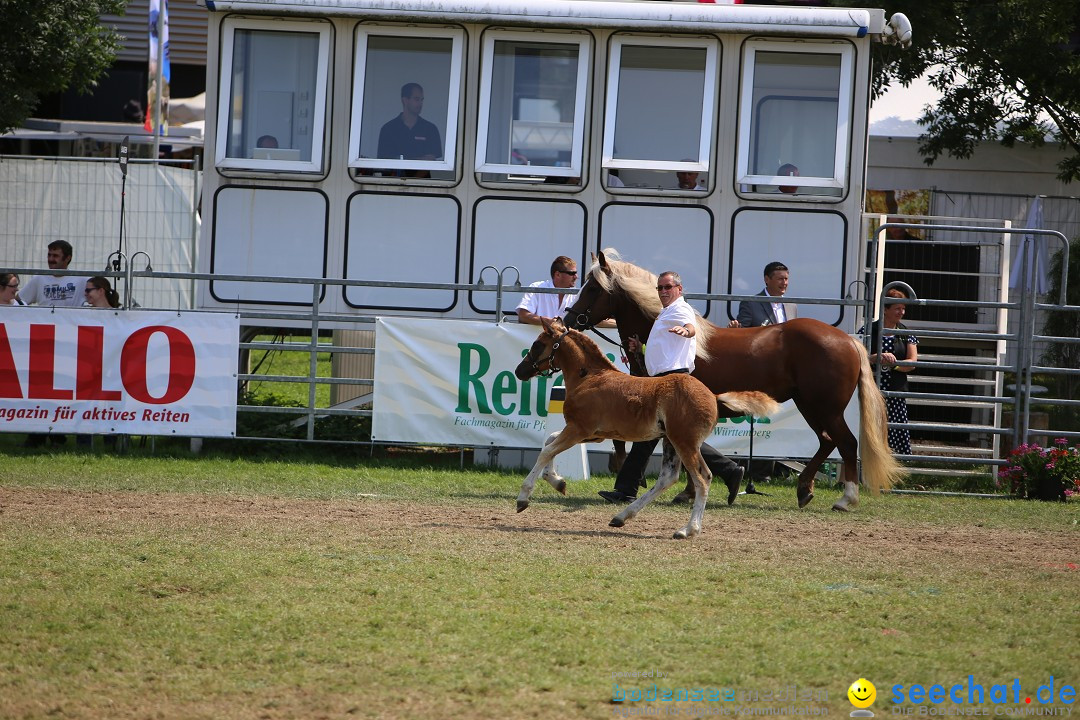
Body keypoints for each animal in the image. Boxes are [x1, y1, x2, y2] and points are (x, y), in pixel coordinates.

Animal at [514, 317, 777, 537]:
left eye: (538, 344)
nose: (519, 371)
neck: (589, 377)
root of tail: (713, 396)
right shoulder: (593, 434)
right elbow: (550, 440)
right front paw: (558, 482)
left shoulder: (580, 429)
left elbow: (547, 449)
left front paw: (524, 498)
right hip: (671, 441)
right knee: (668, 478)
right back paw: (621, 517)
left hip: (685, 443)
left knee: (703, 478)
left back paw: (688, 530)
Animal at [565, 250, 902, 509]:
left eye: (592, 289)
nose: (568, 319)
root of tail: (849, 341)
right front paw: (692, 492)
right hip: (809, 405)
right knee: (827, 441)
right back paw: (804, 490)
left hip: (826, 407)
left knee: (846, 443)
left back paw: (845, 499)